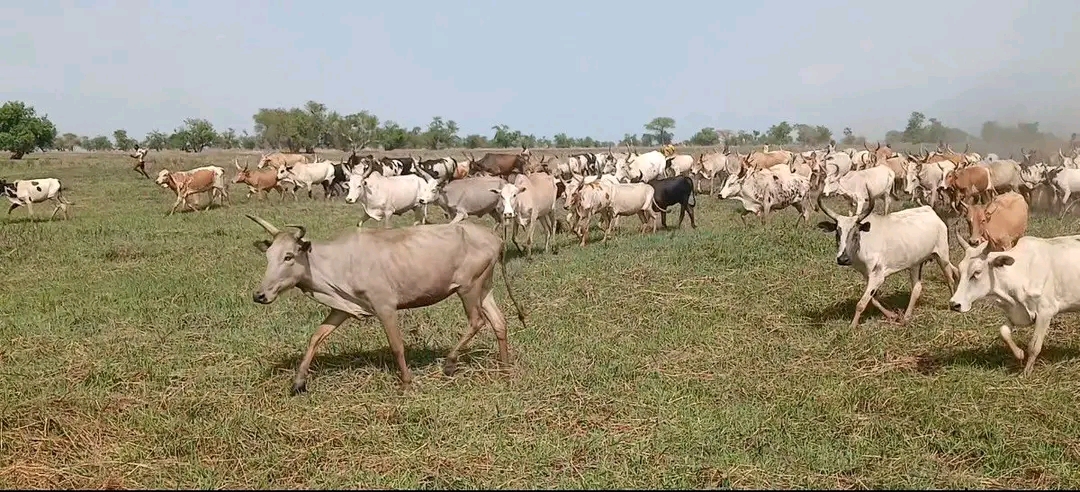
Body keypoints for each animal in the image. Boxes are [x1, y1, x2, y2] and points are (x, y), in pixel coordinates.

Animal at [245, 214, 525, 393]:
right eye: (268, 255)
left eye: (289, 256)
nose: (259, 295)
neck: (339, 259)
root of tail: (495, 237)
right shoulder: (342, 307)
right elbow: (317, 337)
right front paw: (298, 382)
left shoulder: (385, 306)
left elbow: (397, 346)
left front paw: (406, 383)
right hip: (485, 288)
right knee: (499, 322)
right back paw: (505, 370)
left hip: (468, 288)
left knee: (477, 321)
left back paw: (450, 363)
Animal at [816, 195, 959, 329]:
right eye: (837, 233)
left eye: (856, 234)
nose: (843, 259)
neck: (864, 244)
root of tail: (931, 211)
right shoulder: (867, 275)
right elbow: (873, 299)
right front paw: (892, 315)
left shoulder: (878, 276)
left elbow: (861, 303)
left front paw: (852, 326)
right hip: (915, 263)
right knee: (917, 288)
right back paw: (906, 318)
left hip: (942, 255)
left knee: (950, 279)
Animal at [949, 233, 1080, 375]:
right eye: (959, 271)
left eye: (976, 272)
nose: (954, 304)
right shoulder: (1015, 312)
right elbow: (1003, 332)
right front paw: (1020, 354)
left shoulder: (1045, 312)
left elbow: (1034, 346)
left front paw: (1026, 372)